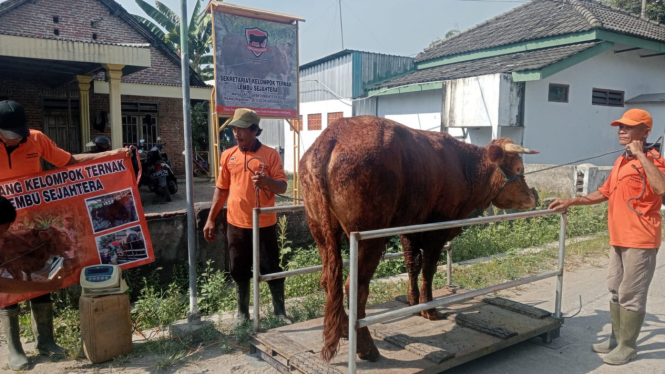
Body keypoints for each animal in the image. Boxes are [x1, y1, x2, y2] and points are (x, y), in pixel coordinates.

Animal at [298, 117, 536, 362]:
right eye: (519, 168)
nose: (532, 197)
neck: (464, 167)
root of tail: (332, 134)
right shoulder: (437, 228)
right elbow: (428, 269)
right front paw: (428, 308)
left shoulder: (409, 226)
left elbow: (412, 264)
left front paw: (412, 299)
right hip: (368, 236)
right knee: (355, 286)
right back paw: (366, 347)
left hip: (320, 230)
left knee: (329, 280)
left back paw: (345, 328)